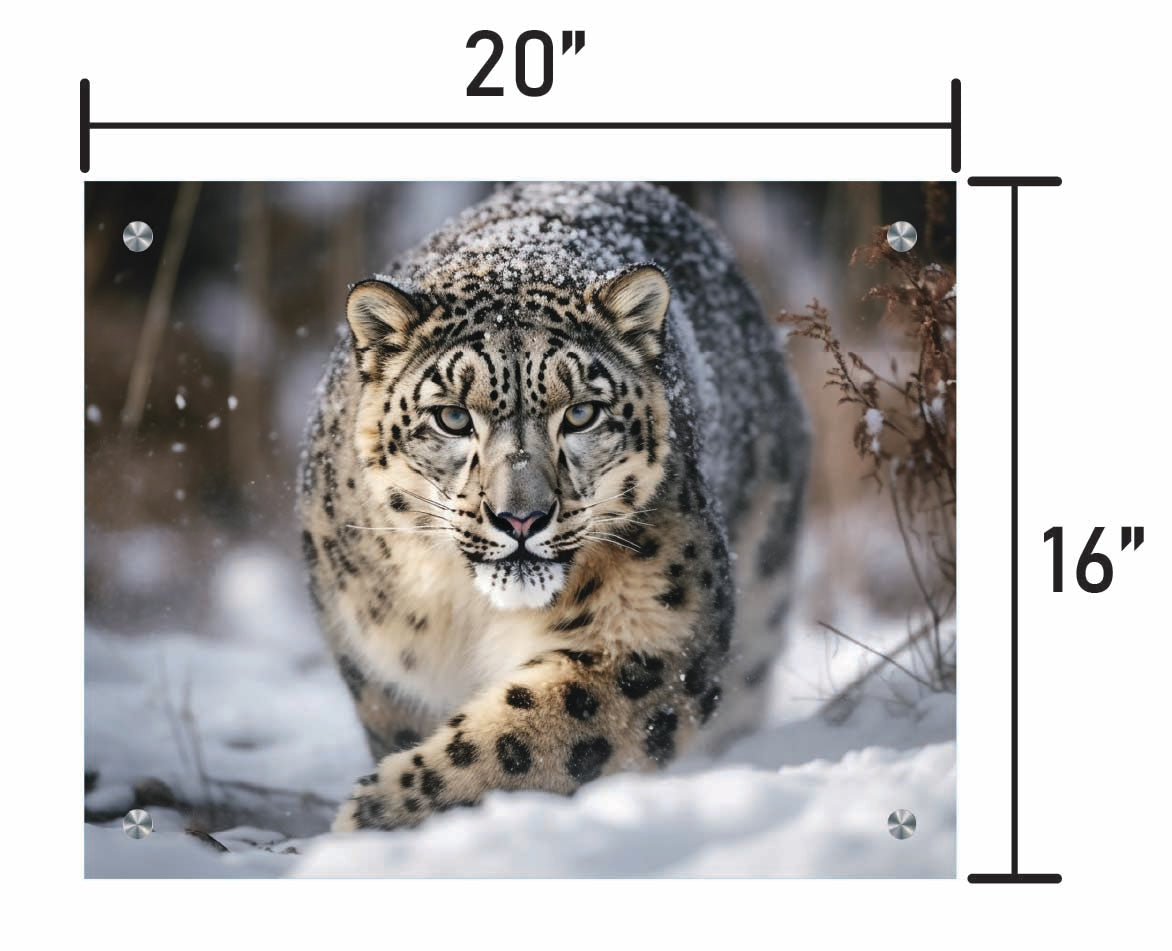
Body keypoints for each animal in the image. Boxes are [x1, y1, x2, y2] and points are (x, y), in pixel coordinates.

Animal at [297, 182, 810, 832]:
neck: (469, 616)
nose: (521, 517)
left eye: (582, 413)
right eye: (453, 416)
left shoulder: (654, 631)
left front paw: (379, 813)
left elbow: (529, 737)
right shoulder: (379, 663)